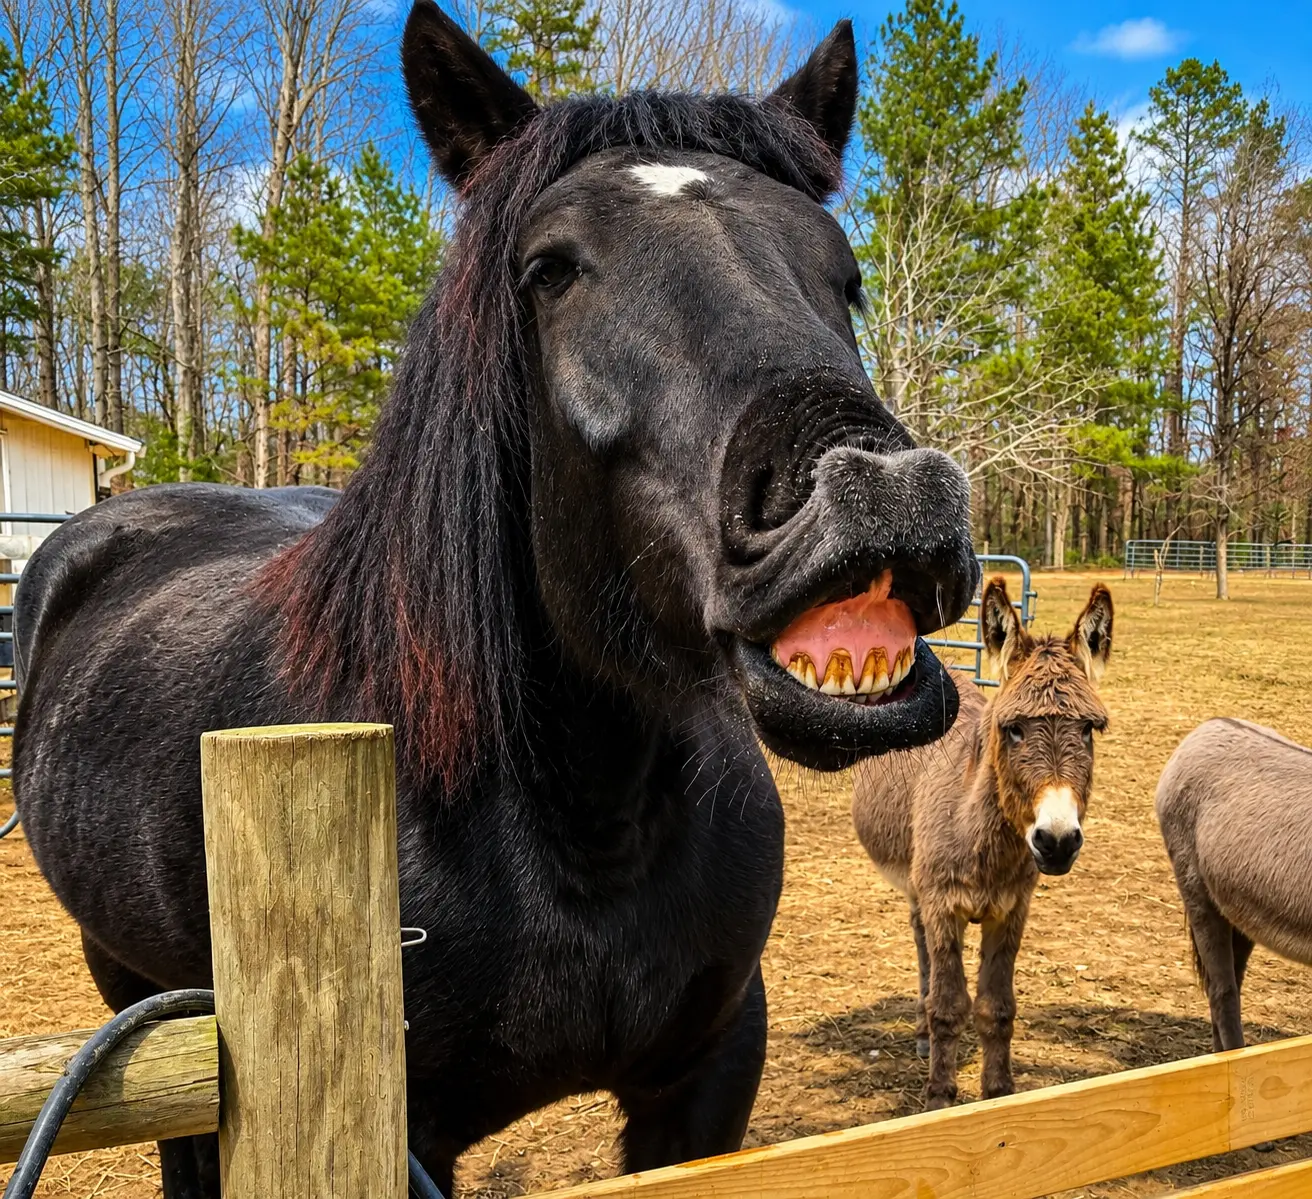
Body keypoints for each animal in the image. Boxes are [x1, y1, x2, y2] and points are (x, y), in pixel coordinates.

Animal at [10, 3, 980, 1195]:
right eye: (551, 268)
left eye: (842, 274)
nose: (882, 494)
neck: (579, 818)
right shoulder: (404, 1131)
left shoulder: (706, 1075)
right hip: (134, 997)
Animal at [852, 579, 1113, 1109]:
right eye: (1012, 729)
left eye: (1087, 730)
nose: (1057, 841)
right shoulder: (943, 904)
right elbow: (949, 1006)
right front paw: (939, 1098)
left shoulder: (1011, 910)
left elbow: (997, 1008)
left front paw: (997, 1096)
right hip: (919, 884)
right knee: (923, 949)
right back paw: (923, 1035)